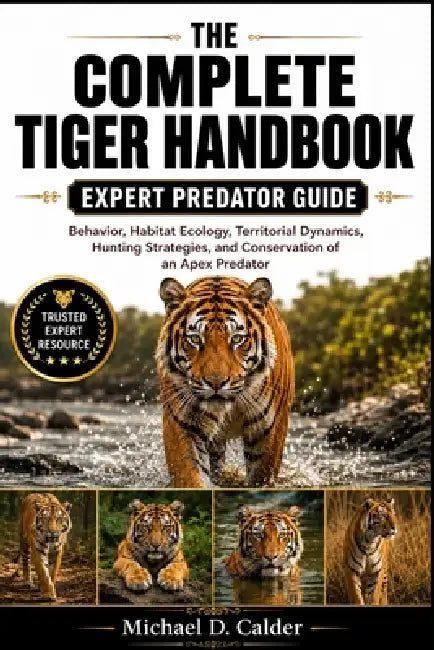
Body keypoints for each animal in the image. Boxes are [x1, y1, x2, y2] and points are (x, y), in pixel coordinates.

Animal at [156, 276, 295, 488]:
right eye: (195, 339)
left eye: (236, 339)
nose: (215, 383)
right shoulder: (182, 421)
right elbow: (189, 474)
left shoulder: (272, 425)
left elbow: (261, 474)